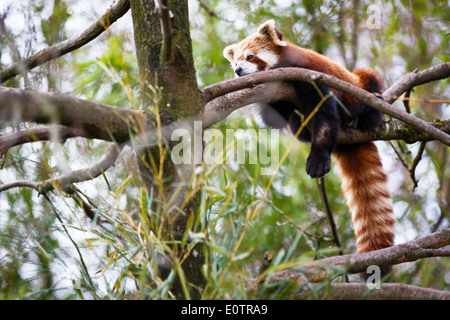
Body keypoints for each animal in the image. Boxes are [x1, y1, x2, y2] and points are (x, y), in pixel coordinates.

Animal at [224, 19, 394, 276]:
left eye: (250, 57)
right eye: (235, 62)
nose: (237, 71)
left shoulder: (307, 75)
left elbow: (324, 114)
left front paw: (317, 159)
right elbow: (273, 117)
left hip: (360, 85)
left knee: (368, 82)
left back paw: (360, 118)